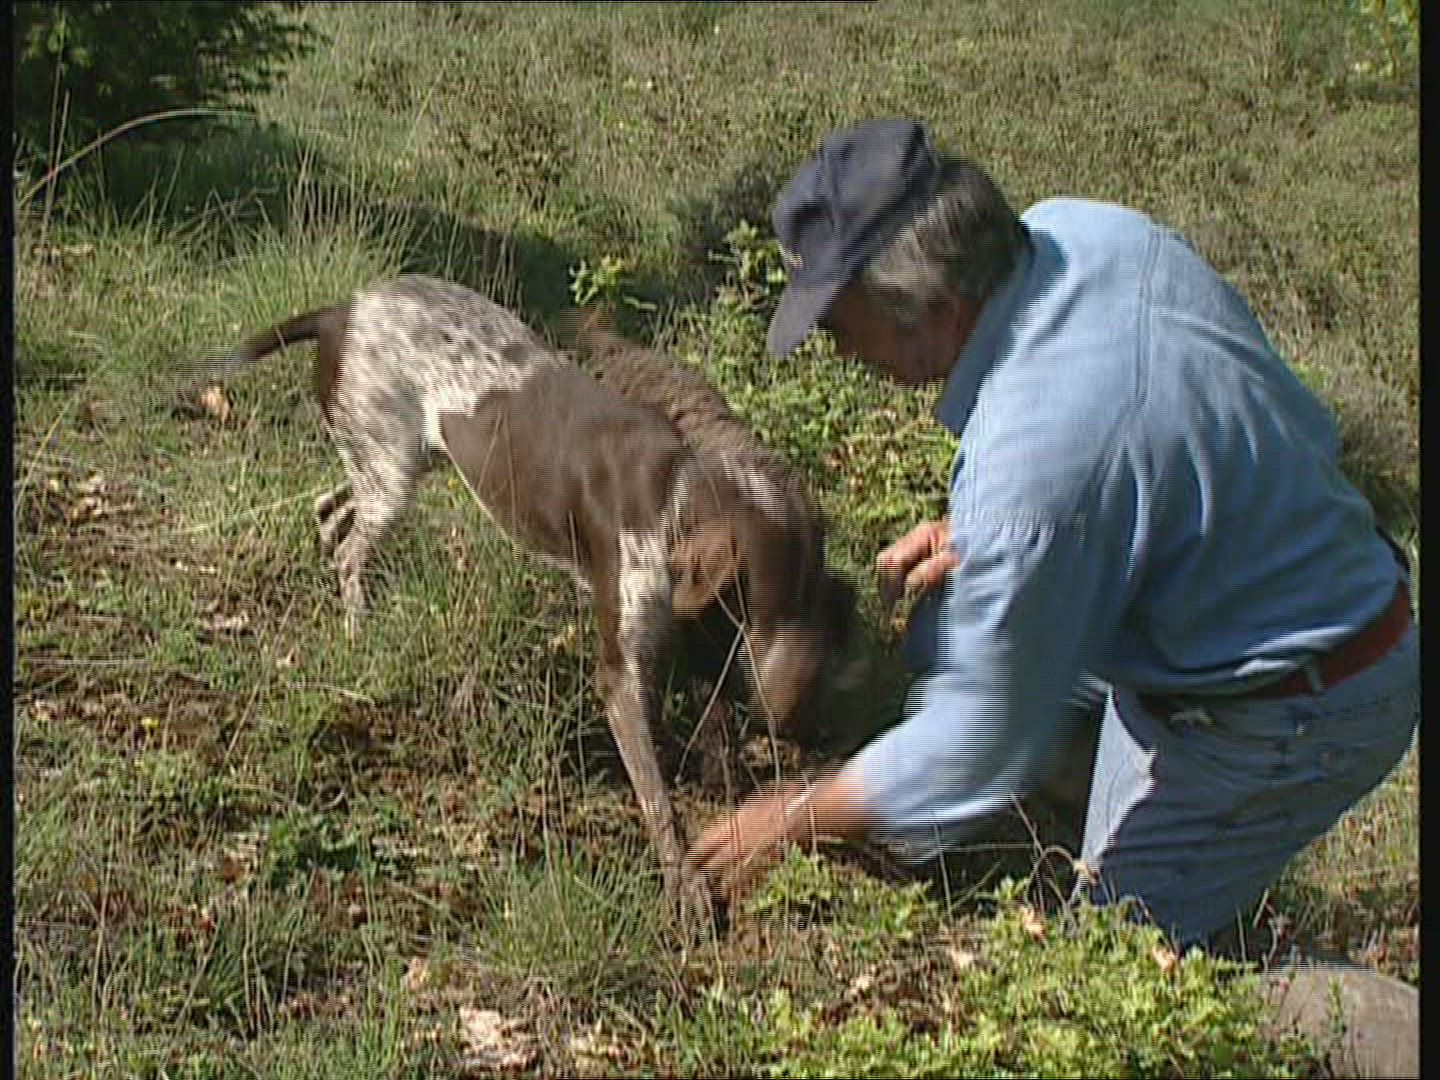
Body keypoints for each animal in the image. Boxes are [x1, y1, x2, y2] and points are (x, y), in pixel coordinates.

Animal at [191, 274, 855, 926]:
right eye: (775, 601)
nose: (802, 713)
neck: (674, 492)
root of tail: (341, 312)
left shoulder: (695, 630)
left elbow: (712, 726)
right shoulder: (623, 675)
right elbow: (655, 794)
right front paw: (684, 880)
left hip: (396, 468)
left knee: (329, 515)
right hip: (390, 473)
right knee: (349, 550)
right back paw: (359, 629)